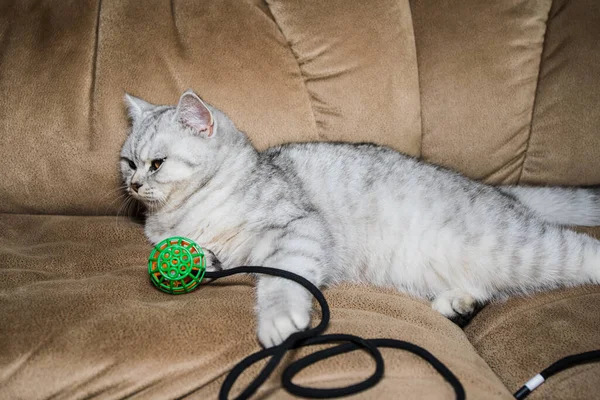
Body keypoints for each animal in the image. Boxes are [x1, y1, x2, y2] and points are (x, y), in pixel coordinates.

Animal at [119, 89, 600, 348]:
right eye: (128, 163)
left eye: (157, 164)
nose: (135, 185)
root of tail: (501, 190)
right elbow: (205, 255)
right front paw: (199, 258)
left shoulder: (298, 228)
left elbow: (280, 279)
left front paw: (278, 320)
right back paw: (456, 303)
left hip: (523, 249)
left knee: (584, 249)